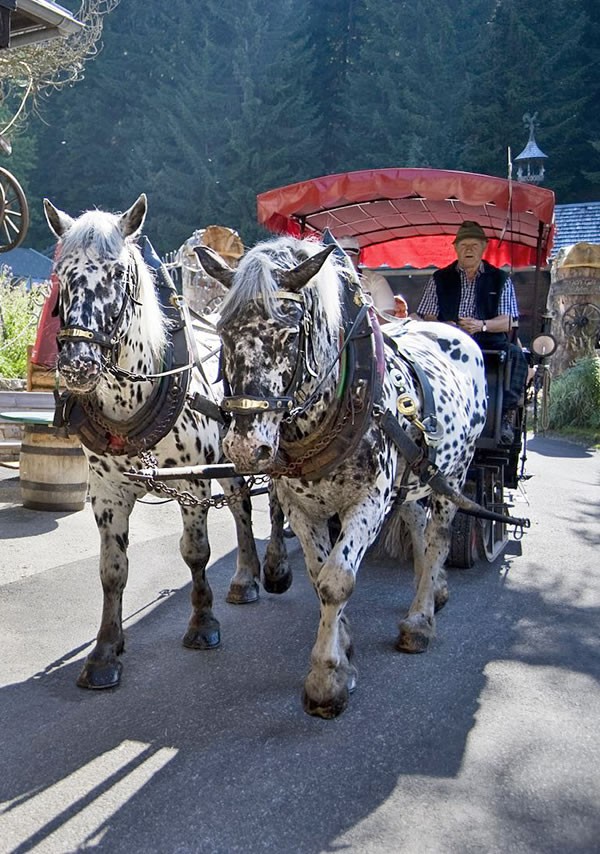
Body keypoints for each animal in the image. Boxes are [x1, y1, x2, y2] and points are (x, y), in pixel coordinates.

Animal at [44, 197, 288, 692]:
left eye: (118, 272)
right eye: (63, 272)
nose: (78, 365)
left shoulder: (193, 483)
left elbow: (195, 553)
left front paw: (202, 623)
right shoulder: (107, 493)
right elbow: (112, 569)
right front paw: (105, 650)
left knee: (266, 505)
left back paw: (269, 569)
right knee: (241, 505)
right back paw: (246, 576)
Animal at [199, 236, 490, 724]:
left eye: (289, 333)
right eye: (221, 330)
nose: (244, 447)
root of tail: (456, 333)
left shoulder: (369, 500)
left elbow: (337, 580)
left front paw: (326, 678)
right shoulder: (300, 507)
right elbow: (320, 575)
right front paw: (344, 643)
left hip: (456, 470)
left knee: (438, 538)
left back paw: (420, 619)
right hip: (413, 478)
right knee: (416, 521)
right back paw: (431, 588)